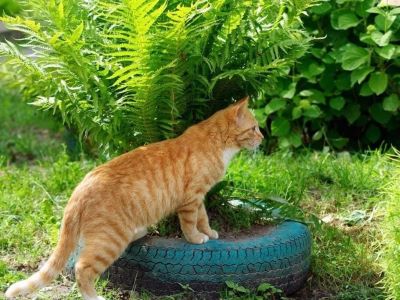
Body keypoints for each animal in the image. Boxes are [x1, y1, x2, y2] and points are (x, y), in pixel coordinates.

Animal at [5, 96, 266, 300]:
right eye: (254, 128)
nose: (263, 138)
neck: (217, 143)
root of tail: (80, 187)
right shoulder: (191, 198)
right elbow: (191, 223)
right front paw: (196, 238)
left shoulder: (199, 197)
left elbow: (204, 218)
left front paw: (209, 232)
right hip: (109, 241)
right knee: (82, 268)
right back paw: (93, 296)